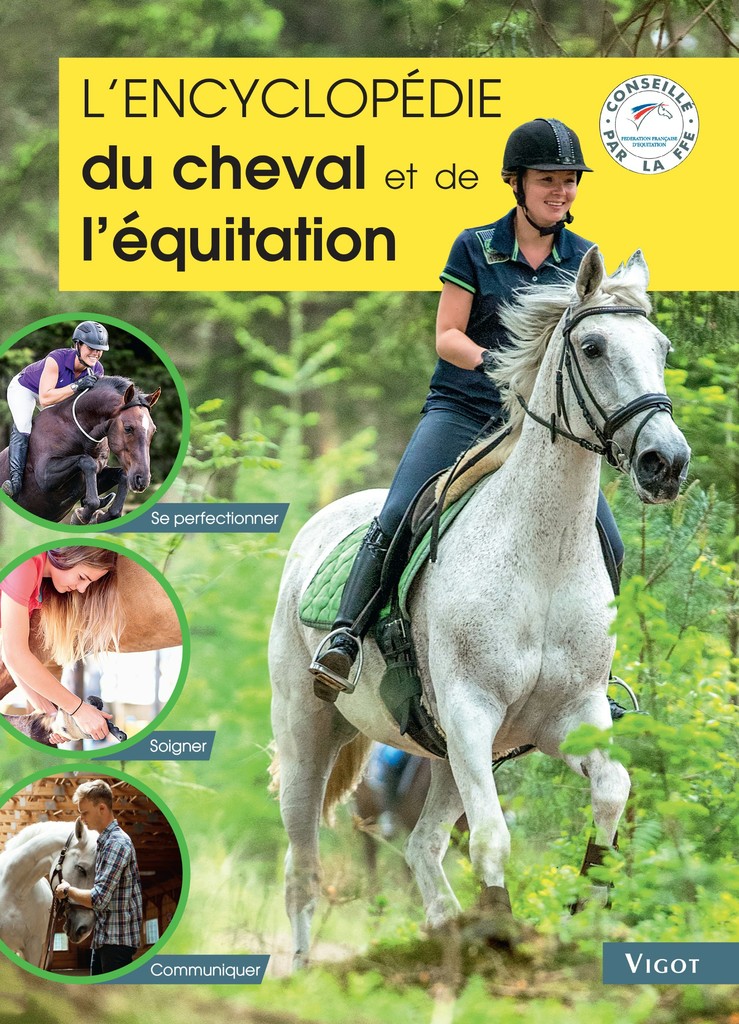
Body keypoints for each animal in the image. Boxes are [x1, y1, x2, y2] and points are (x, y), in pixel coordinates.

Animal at [0, 375, 160, 524]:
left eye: (153, 430)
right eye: (128, 428)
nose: (142, 480)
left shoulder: (97, 475)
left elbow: (122, 475)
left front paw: (102, 516)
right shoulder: (45, 476)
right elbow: (87, 462)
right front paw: (82, 516)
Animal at [269, 248, 691, 968]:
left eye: (661, 348)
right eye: (592, 346)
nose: (666, 461)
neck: (542, 556)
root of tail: (318, 526)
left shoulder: (565, 717)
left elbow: (611, 790)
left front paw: (585, 911)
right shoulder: (471, 709)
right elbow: (493, 837)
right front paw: (499, 931)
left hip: (445, 755)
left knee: (420, 847)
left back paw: (444, 928)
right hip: (307, 732)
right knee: (302, 867)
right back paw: (303, 968)